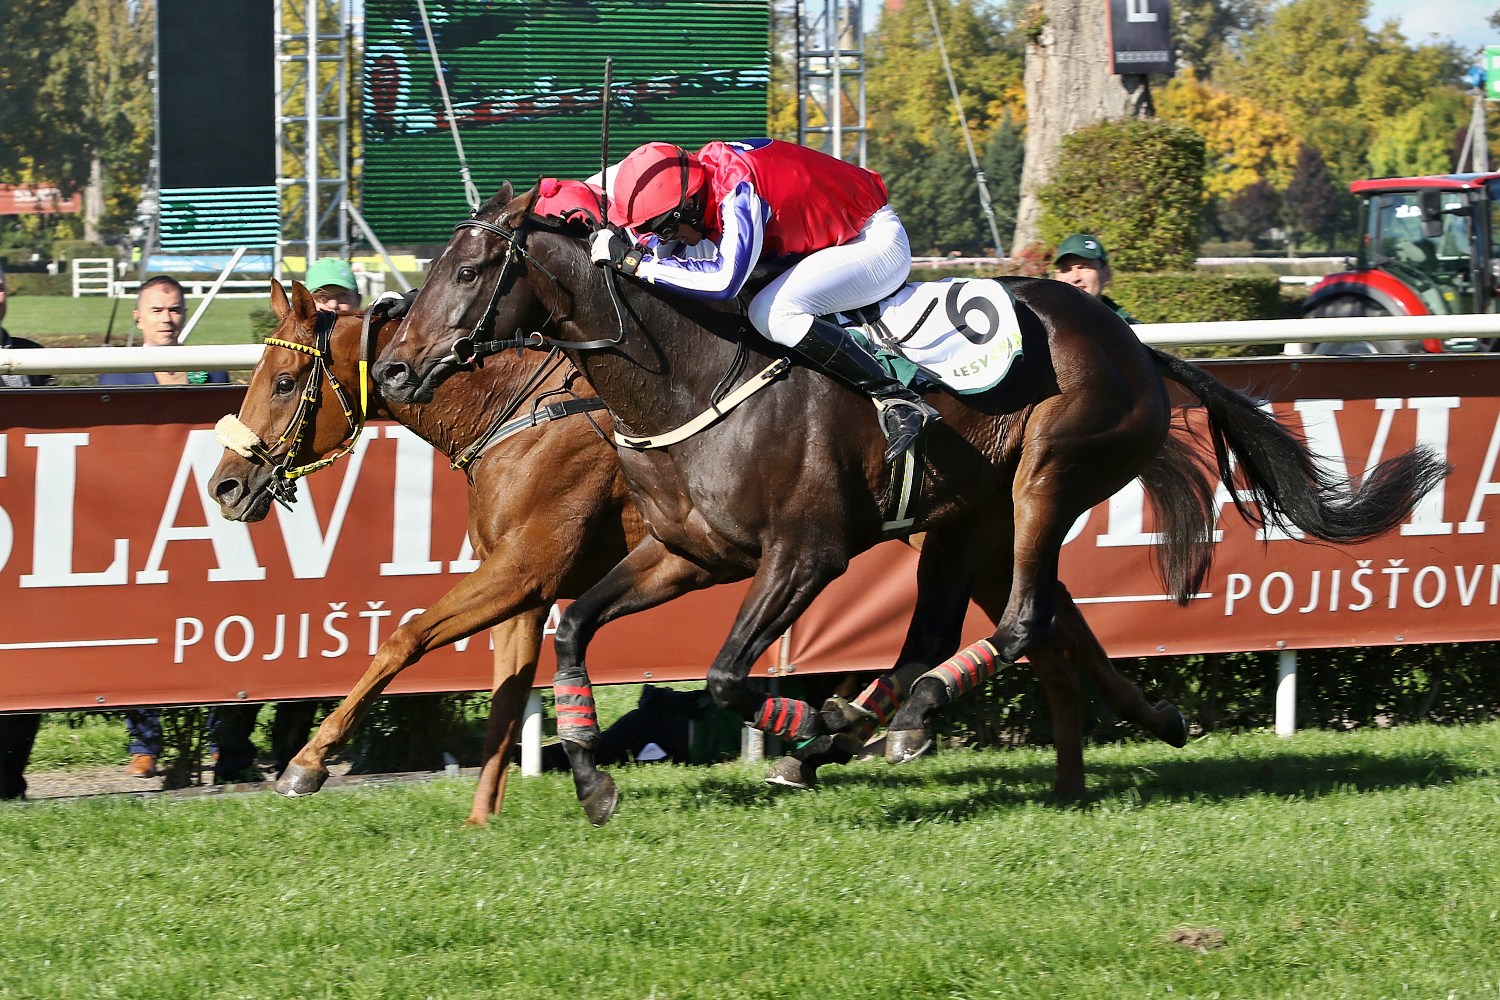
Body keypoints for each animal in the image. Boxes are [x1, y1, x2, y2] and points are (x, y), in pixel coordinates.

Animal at [209, 278, 1191, 822]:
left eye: (286, 380)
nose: (223, 484)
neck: (518, 405)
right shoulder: (529, 579)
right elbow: (509, 688)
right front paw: (493, 814)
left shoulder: (524, 565)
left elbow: (405, 638)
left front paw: (305, 764)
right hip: (975, 526)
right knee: (1045, 628)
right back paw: (1106, 748)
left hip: (1022, 495)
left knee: (1030, 623)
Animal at [373, 183, 1446, 826]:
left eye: (468, 270)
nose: (393, 368)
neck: (689, 379)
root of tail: (1141, 344)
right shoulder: (689, 554)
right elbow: (571, 626)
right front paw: (594, 779)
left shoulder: (805, 554)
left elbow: (724, 677)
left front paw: (808, 720)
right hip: (970, 516)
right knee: (983, 627)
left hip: (1049, 473)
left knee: (1021, 621)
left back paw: (888, 722)